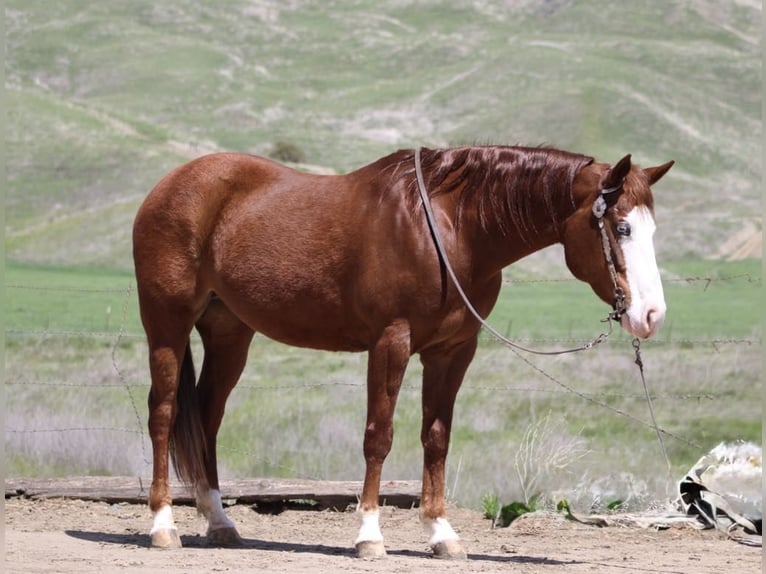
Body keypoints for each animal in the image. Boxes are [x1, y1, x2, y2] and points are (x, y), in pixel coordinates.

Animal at [132, 145, 673, 558]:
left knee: (206, 416)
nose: (651, 315)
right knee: (162, 413)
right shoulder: (390, 341)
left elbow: (436, 439)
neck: (452, 230)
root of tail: (171, 184)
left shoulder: (452, 351)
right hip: (167, 324)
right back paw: (163, 525)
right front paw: (369, 536)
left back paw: (219, 522)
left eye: (651, 231)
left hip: (229, 333)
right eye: (621, 228)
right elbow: (379, 436)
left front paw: (441, 534)